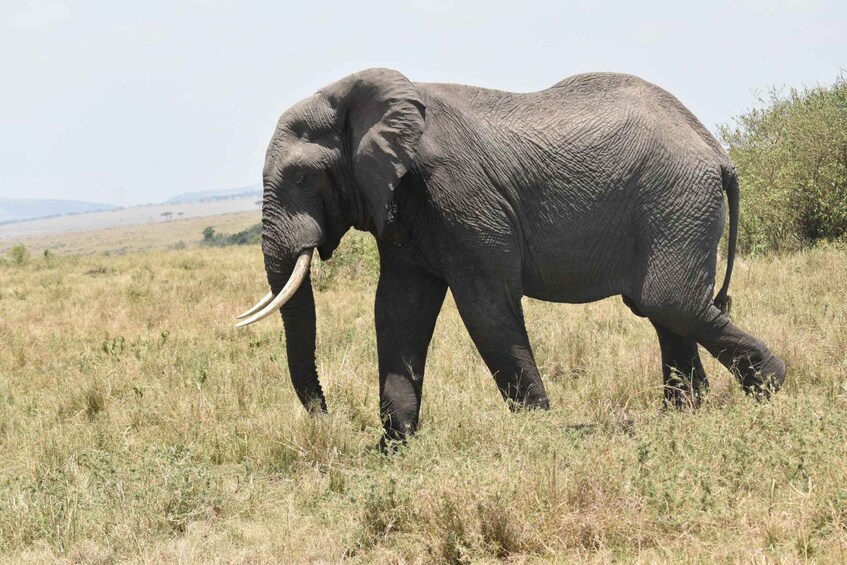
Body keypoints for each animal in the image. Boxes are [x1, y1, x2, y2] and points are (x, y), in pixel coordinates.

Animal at [234, 68, 788, 448]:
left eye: (303, 177)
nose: (328, 419)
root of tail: (716, 152)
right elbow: (397, 310)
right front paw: (393, 451)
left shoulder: (458, 192)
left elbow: (486, 306)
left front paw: (541, 434)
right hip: (675, 205)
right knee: (666, 311)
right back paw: (682, 420)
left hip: (675, 198)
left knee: (669, 302)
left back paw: (771, 390)